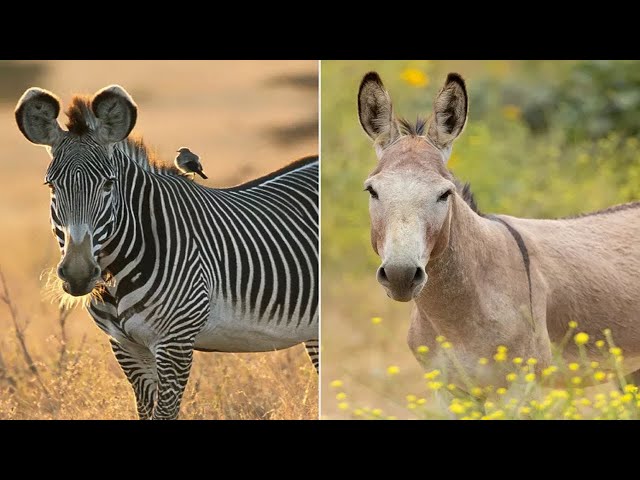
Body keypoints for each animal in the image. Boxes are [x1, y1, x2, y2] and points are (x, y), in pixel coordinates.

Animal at [16, 84, 320, 418]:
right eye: (51, 186)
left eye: (109, 184)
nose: (78, 274)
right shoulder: (126, 346)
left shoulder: (175, 344)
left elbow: (165, 412)